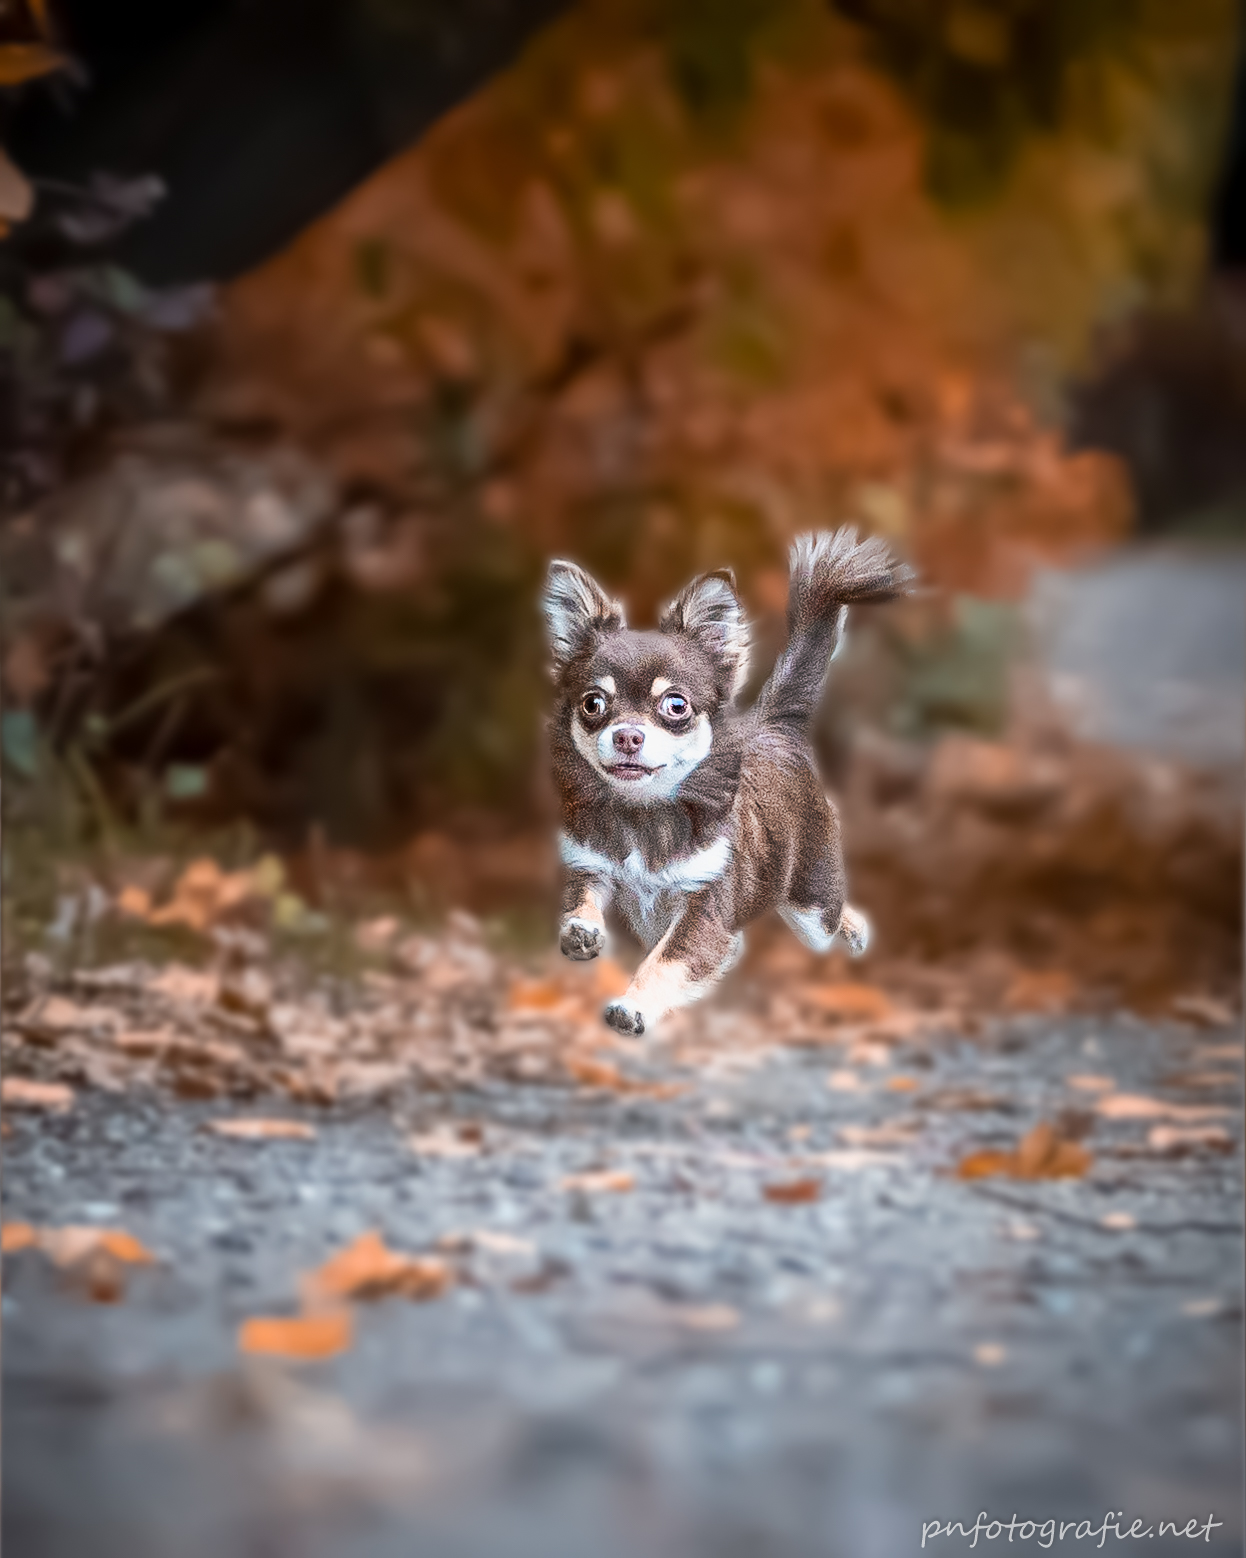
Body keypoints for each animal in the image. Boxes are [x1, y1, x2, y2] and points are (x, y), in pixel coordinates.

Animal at [538, 532, 909, 1034]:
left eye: (676, 705)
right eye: (592, 703)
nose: (627, 735)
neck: (644, 813)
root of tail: (772, 726)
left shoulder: (706, 908)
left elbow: (667, 961)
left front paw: (633, 1006)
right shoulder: (589, 864)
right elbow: (581, 901)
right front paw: (582, 930)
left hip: (811, 904)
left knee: (826, 917)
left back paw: (853, 927)